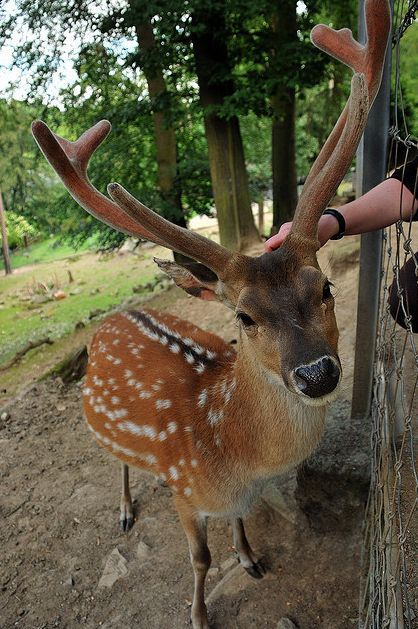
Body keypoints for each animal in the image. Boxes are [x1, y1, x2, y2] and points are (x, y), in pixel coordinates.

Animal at [32, 2, 392, 624]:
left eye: (324, 286)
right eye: (244, 317)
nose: (317, 373)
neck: (234, 456)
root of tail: (115, 318)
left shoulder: (238, 497)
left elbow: (241, 523)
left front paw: (249, 558)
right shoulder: (184, 491)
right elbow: (199, 559)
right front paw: (199, 613)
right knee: (116, 461)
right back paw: (124, 510)